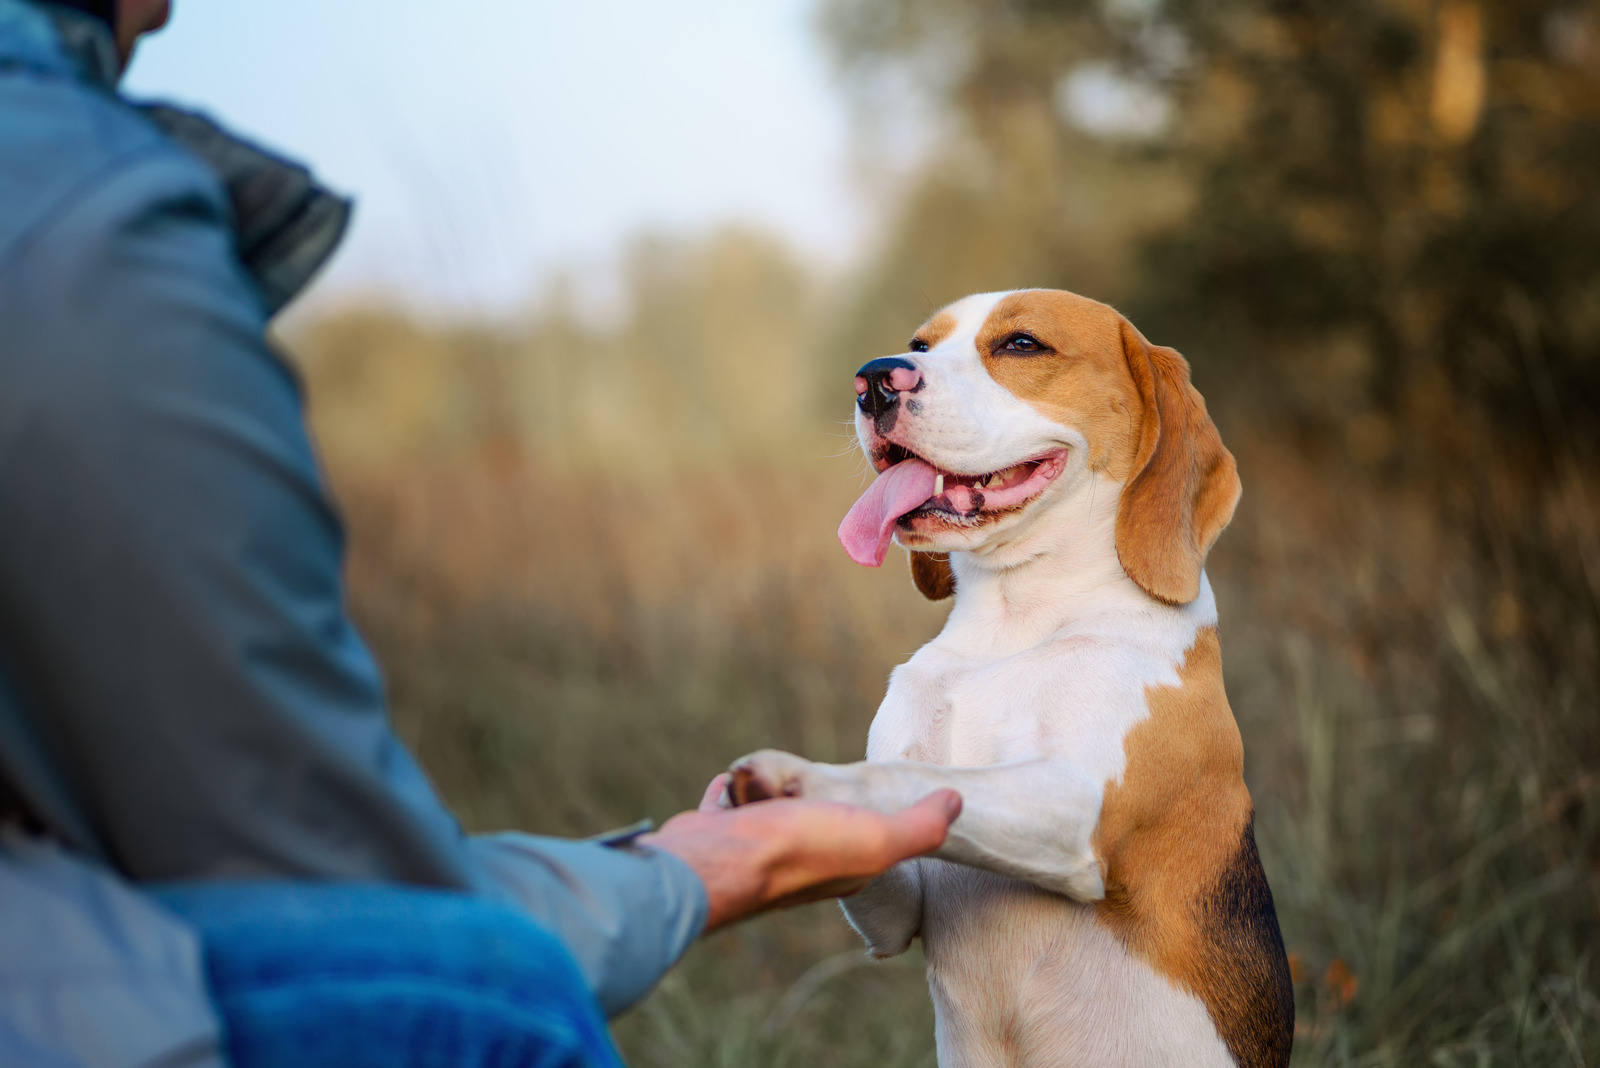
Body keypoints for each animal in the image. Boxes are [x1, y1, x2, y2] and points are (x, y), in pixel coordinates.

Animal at [732, 287, 1292, 1061]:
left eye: (1022, 345)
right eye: (922, 344)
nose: (874, 379)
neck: (1014, 622)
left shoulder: (1073, 808)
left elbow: (908, 778)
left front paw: (803, 780)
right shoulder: (899, 909)